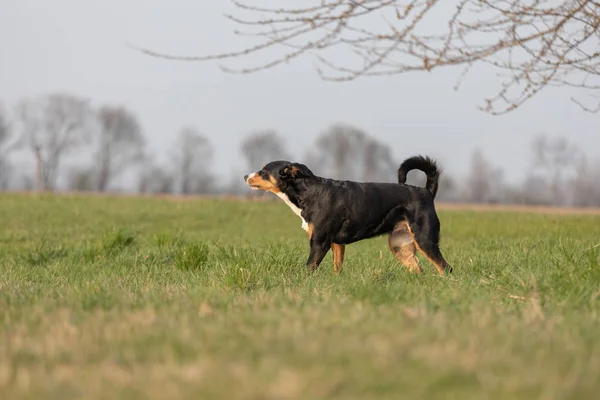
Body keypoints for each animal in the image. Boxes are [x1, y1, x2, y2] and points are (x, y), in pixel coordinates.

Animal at [244, 155, 450, 276]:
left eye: (264, 170)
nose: (245, 176)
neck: (310, 193)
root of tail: (426, 192)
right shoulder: (336, 243)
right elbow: (337, 268)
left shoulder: (319, 242)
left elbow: (309, 268)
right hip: (400, 245)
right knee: (419, 270)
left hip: (424, 240)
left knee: (445, 267)